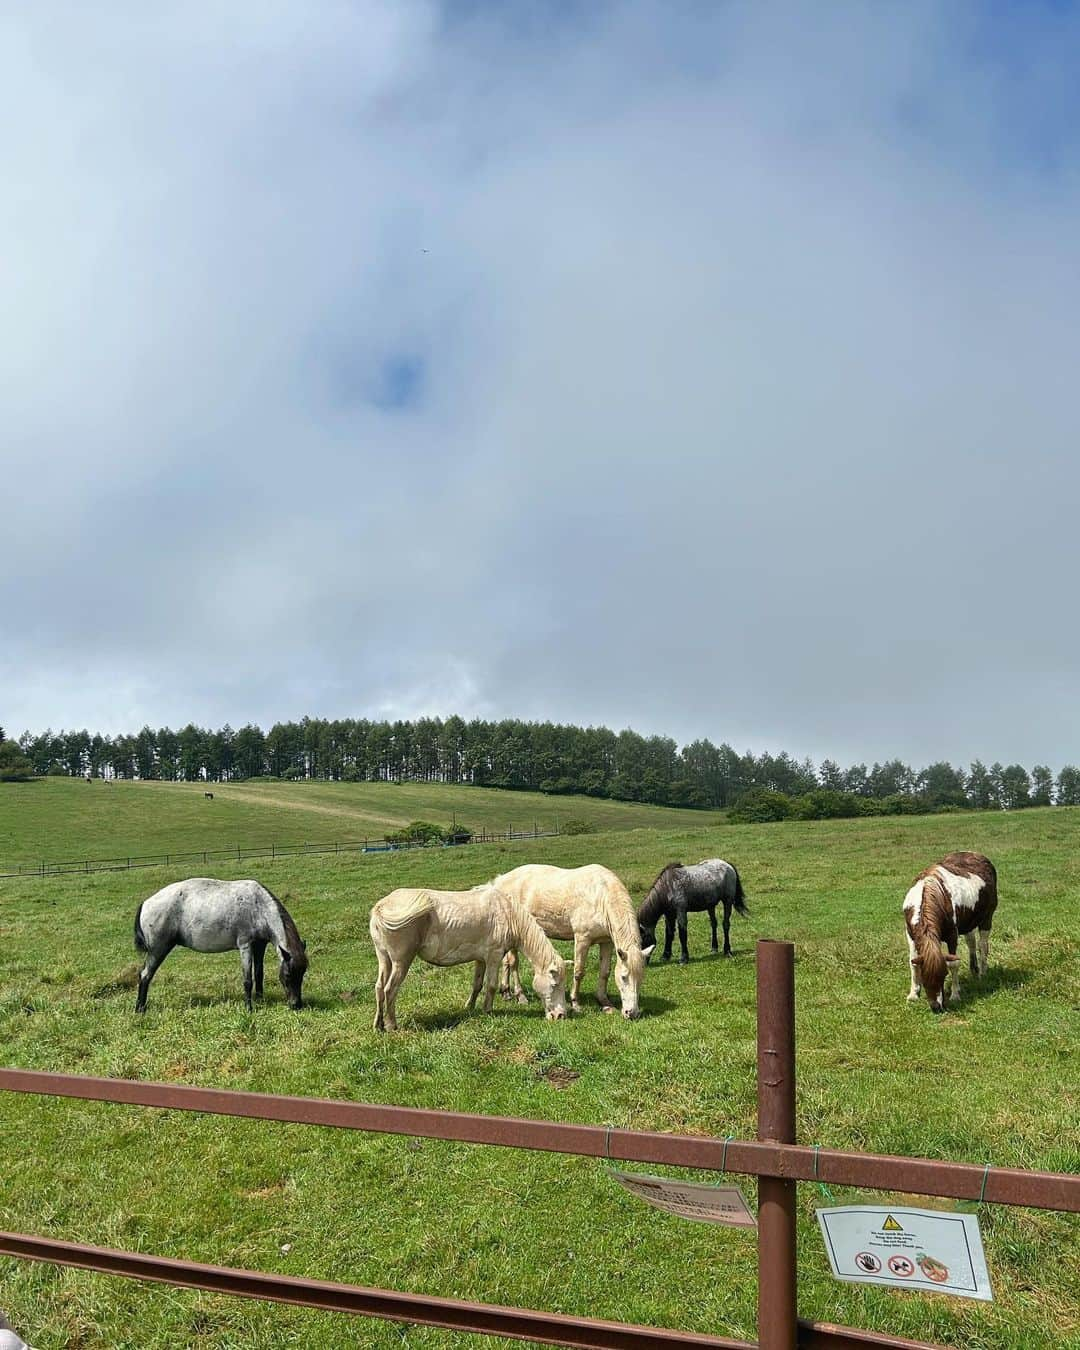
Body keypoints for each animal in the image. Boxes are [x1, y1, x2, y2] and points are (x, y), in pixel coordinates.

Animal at [135, 874, 310, 1015]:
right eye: (288, 975)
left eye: (302, 974)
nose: (296, 1005)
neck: (258, 906)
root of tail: (145, 903)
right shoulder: (246, 945)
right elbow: (248, 980)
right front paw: (249, 1008)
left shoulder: (260, 946)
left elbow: (259, 974)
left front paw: (260, 1000)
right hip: (158, 950)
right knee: (145, 975)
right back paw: (140, 1009)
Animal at [369, 885, 569, 1031]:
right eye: (555, 985)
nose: (560, 1016)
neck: (507, 914)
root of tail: (380, 908)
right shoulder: (494, 956)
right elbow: (491, 985)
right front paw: (488, 1010)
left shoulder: (480, 959)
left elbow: (477, 984)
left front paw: (470, 1007)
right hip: (401, 962)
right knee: (390, 990)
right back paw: (392, 1025)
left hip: (384, 959)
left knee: (379, 988)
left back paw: (378, 1025)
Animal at [494, 858, 653, 1015]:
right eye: (623, 977)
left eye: (641, 977)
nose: (631, 1013)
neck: (601, 897)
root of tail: (500, 880)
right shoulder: (582, 939)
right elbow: (579, 972)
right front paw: (575, 1003)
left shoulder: (606, 942)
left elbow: (604, 972)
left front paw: (605, 1003)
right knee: (514, 963)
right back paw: (520, 996)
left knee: (506, 962)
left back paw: (506, 992)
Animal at [901, 853, 993, 1015]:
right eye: (924, 977)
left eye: (943, 976)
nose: (936, 1007)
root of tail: (977, 855)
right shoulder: (911, 935)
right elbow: (913, 962)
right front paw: (913, 994)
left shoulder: (952, 935)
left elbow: (953, 963)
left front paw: (955, 995)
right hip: (968, 924)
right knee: (971, 943)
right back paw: (974, 969)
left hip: (986, 919)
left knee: (983, 945)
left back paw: (982, 972)